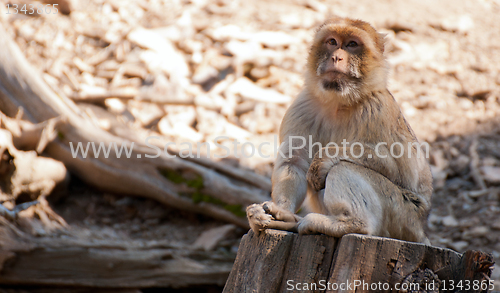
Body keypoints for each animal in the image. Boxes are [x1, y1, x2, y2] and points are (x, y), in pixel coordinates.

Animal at [247, 16, 434, 244]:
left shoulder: (378, 109)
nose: (336, 57)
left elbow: (398, 167)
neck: (339, 101)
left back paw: (350, 224)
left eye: (352, 44)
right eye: (332, 42)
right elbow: (294, 162)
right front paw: (279, 212)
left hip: (404, 215)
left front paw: (325, 158)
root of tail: (422, 232)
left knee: (343, 168)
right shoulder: (302, 105)